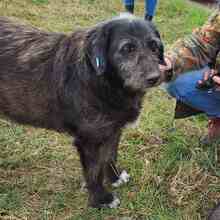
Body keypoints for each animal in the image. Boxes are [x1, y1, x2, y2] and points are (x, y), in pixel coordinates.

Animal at [0, 14, 164, 207]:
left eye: (154, 46)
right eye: (128, 48)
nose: (155, 78)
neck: (101, 79)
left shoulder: (113, 131)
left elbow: (110, 157)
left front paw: (115, 179)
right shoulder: (88, 141)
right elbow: (94, 172)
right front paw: (101, 199)